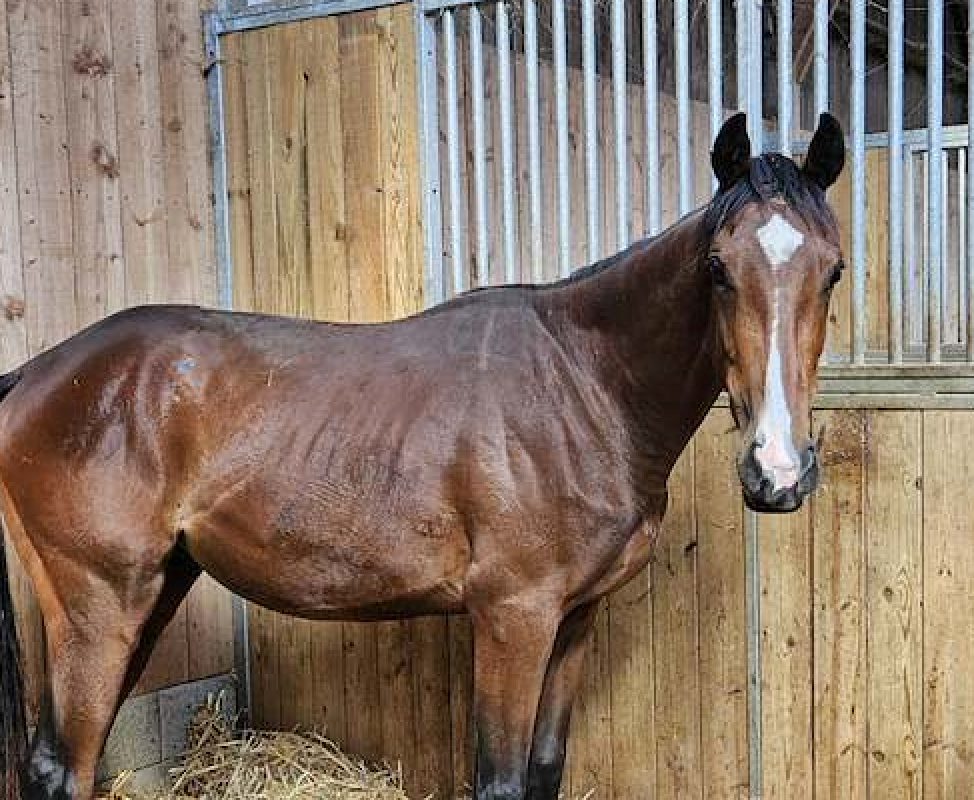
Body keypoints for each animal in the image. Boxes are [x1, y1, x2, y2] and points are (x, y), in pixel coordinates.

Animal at [0, 111, 845, 800]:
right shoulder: (512, 620)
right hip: (100, 606)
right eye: (717, 269)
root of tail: (35, 376)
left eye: (832, 270)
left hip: (151, 593)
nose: (777, 471)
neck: (583, 384)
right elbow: (500, 779)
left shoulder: (572, 623)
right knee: (66, 767)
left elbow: (544, 772)